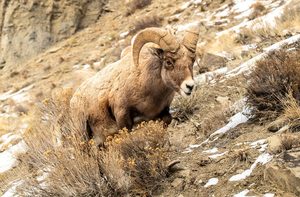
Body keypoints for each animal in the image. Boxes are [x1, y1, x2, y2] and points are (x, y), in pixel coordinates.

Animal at [70, 24, 200, 145]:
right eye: (168, 62)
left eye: (192, 60)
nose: (189, 86)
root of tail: (74, 99)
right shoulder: (123, 117)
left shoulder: (163, 113)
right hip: (83, 136)